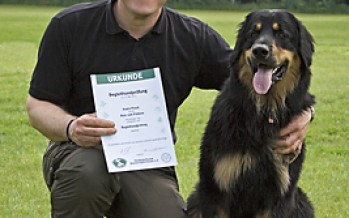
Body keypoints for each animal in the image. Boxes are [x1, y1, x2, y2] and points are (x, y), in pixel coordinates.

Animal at [188, 9, 316, 217]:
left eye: (282, 34)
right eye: (252, 34)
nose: (260, 50)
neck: (264, 111)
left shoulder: (279, 195)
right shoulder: (216, 189)